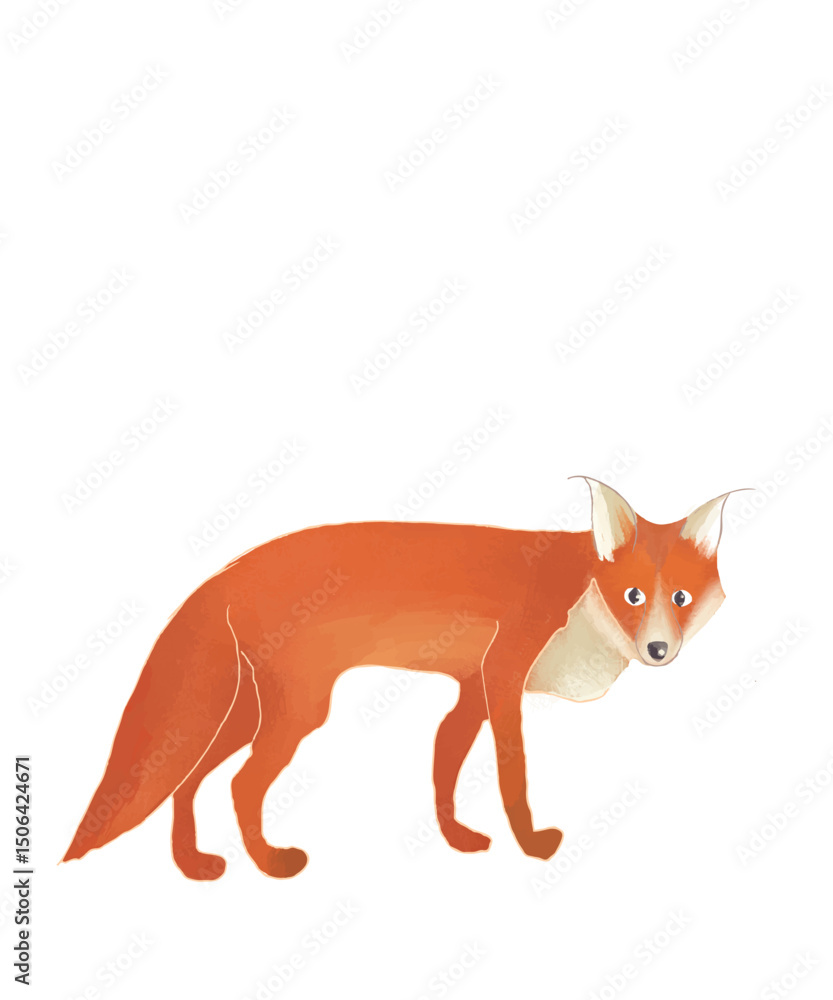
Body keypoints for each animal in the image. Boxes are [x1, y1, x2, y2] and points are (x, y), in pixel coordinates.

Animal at [63, 478, 741, 880]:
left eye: (680, 598)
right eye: (633, 596)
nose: (658, 648)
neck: (577, 602)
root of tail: (228, 570)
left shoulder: (472, 691)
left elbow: (445, 761)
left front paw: (458, 839)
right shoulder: (504, 677)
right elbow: (512, 776)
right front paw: (530, 845)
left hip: (246, 713)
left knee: (187, 776)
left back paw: (192, 863)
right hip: (297, 714)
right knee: (238, 784)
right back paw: (269, 863)